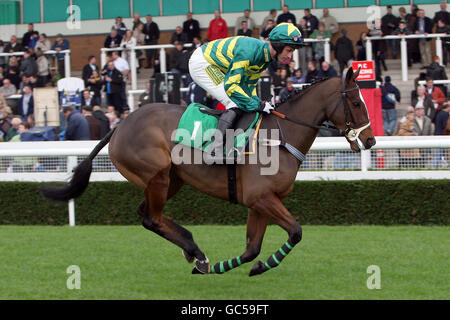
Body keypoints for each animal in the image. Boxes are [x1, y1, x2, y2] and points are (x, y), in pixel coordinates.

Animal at [40, 68, 376, 278]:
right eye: (356, 101)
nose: (370, 140)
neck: (280, 136)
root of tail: (119, 124)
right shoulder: (262, 198)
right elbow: (295, 231)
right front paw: (258, 266)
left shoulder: (260, 202)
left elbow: (252, 249)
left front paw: (246, 267)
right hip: (158, 176)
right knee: (152, 218)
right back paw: (195, 250)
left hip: (170, 180)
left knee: (146, 214)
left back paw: (196, 254)